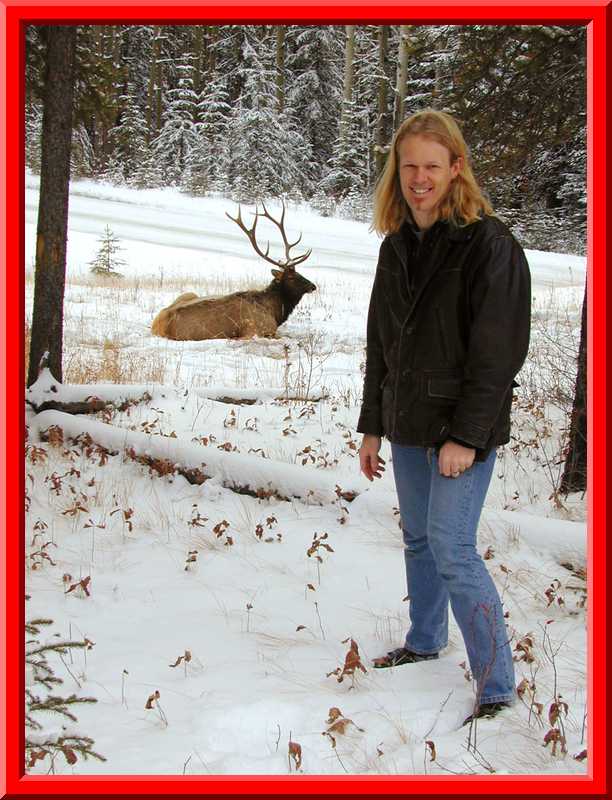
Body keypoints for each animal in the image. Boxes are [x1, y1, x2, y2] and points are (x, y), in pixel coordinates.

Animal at [151, 202, 316, 341]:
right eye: (292, 277)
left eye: (299, 273)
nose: (313, 286)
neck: (275, 312)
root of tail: (156, 325)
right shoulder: (256, 331)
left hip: (189, 293)